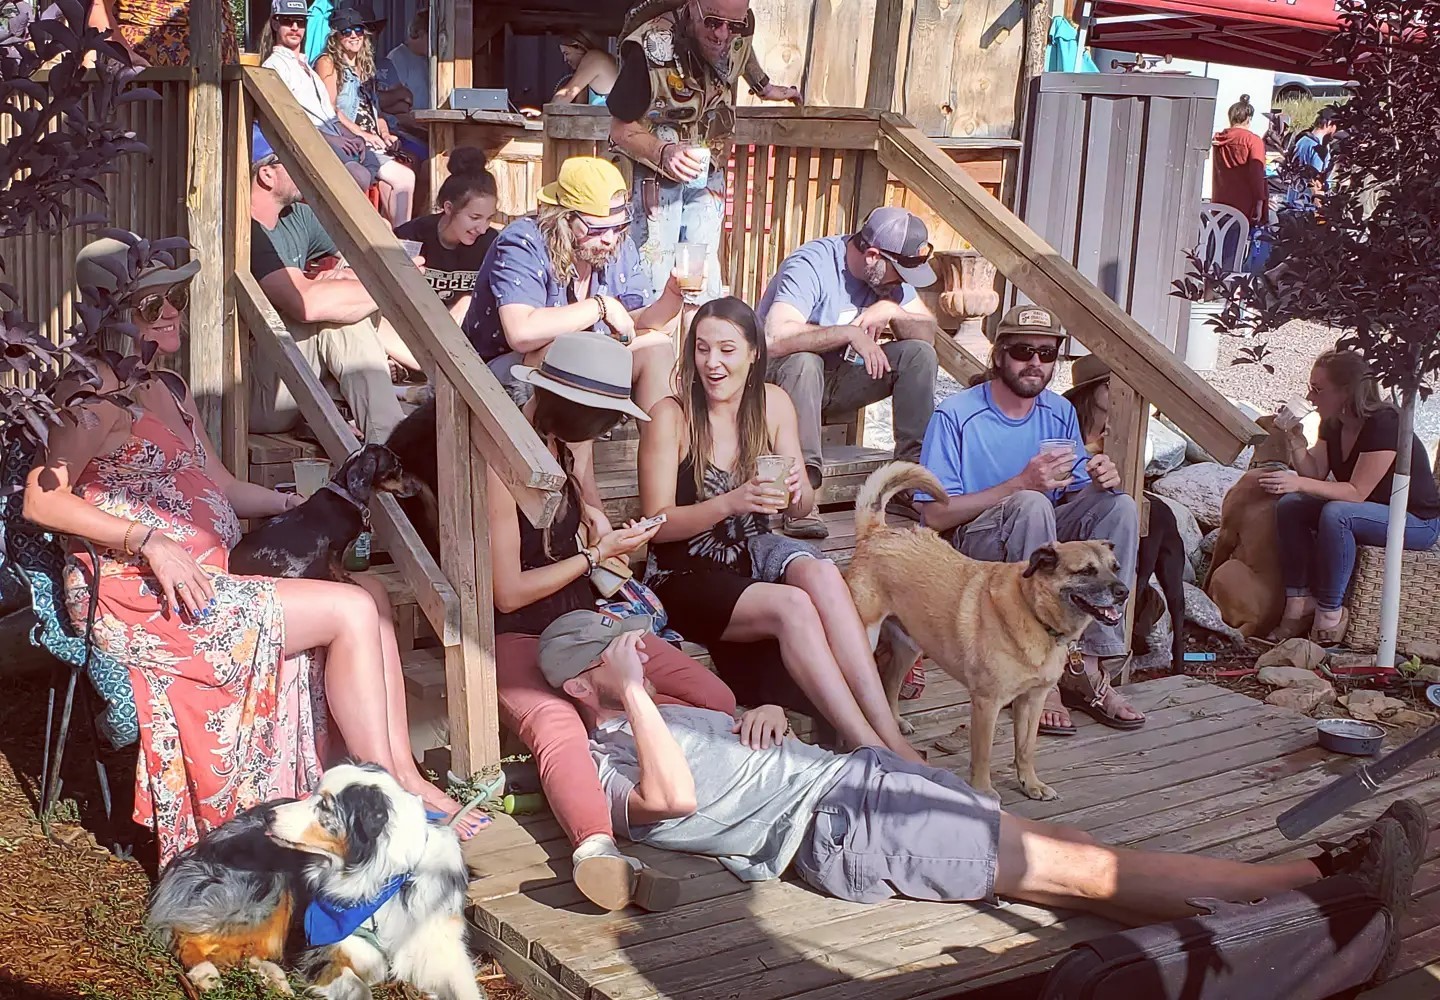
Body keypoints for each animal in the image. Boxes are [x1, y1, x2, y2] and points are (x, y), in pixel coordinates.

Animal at [146, 763, 481, 999]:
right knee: (182, 934)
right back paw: (205, 974)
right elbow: (360, 989)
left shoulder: (440, 949)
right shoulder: (327, 951)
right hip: (263, 893)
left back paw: (272, 978)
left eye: (325, 806)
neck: (383, 880)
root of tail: (186, 856)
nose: (269, 817)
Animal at [845, 462, 1130, 801]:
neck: (1035, 614)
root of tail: (877, 531)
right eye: (1086, 571)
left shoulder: (1032, 700)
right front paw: (982, 791)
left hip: (910, 645)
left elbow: (1026, 748)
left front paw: (1030, 784)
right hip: (867, 634)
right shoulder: (986, 702)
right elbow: (983, 753)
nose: (1124, 592)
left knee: (888, 682)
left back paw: (895, 723)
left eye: (1115, 567)